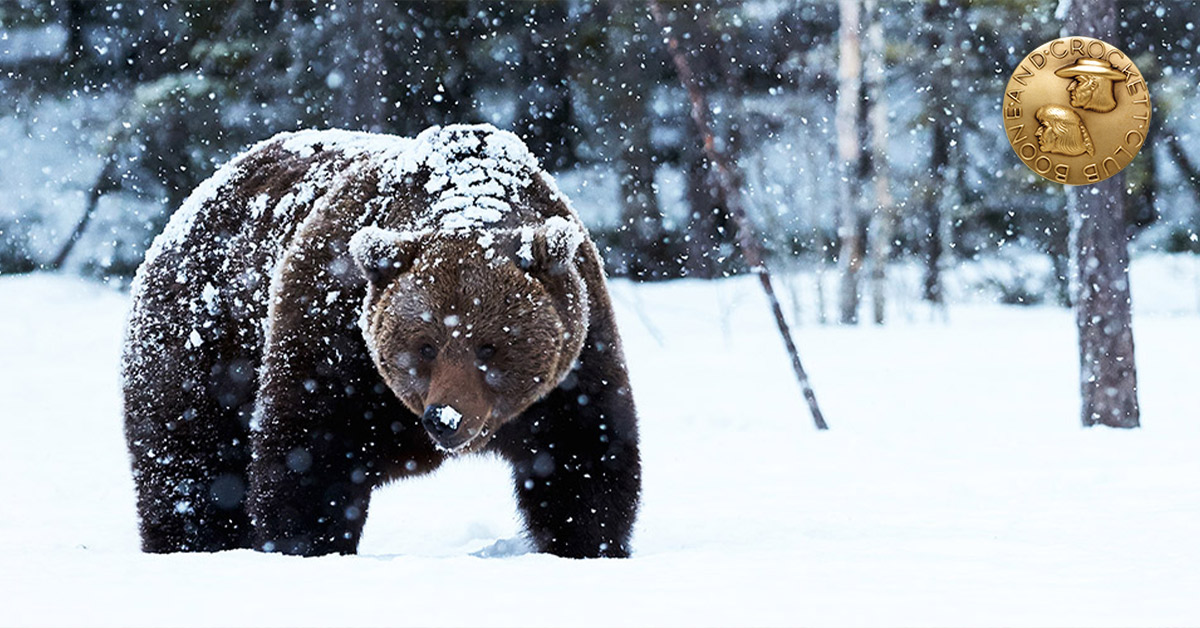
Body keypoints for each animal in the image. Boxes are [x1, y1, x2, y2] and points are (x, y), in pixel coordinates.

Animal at [122, 124, 640, 558]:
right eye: (426, 345)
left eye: (489, 346)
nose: (445, 419)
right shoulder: (332, 336)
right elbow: (306, 460)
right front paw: (310, 546)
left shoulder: (574, 361)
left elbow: (584, 460)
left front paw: (589, 547)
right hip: (204, 343)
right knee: (191, 464)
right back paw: (191, 544)